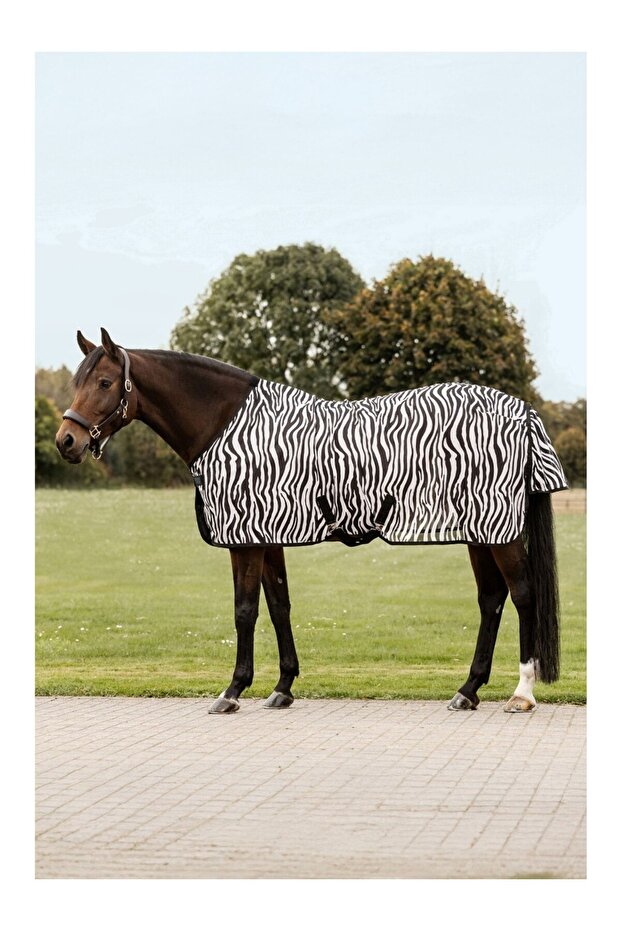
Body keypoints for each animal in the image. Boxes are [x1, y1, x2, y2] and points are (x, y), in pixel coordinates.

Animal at [55, 329, 567, 715]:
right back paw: (467, 691)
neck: (227, 426)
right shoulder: (268, 537)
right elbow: (279, 605)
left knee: (523, 596)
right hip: (478, 533)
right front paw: (282, 688)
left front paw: (232, 691)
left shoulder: (245, 541)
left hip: (498, 533)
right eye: (81, 380)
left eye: (105, 382)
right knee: (491, 600)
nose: (66, 441)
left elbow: (245, 610)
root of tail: (522, 412)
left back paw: (521, 693)